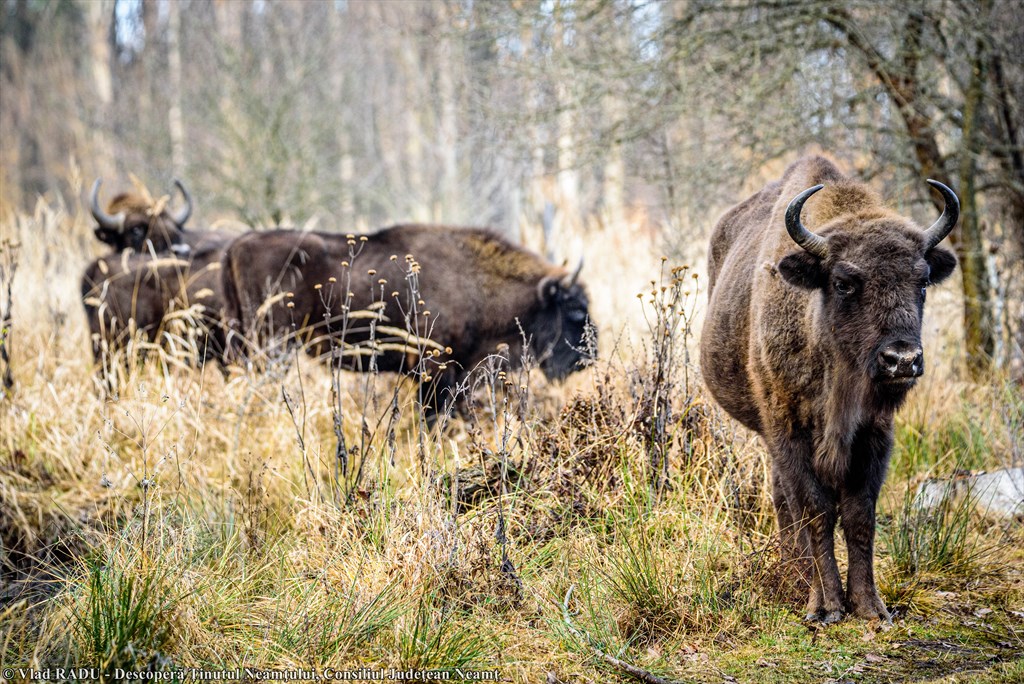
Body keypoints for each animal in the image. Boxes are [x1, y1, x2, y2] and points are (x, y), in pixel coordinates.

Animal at [221, 224, 596, 415]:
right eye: (576, 311)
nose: (589, 359)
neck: (475, 283)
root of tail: (236, 245)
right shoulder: (435, 368)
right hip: (274, 347)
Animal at [700, 156, 958, 623]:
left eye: (923, 281)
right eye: (843, 282)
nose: (902, 360)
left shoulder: (875, 434)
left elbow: (859, 514)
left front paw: (870, 606)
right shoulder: (789, 430)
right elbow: (816, 510)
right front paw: (826, 606)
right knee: (785, 502)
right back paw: (797, 576)